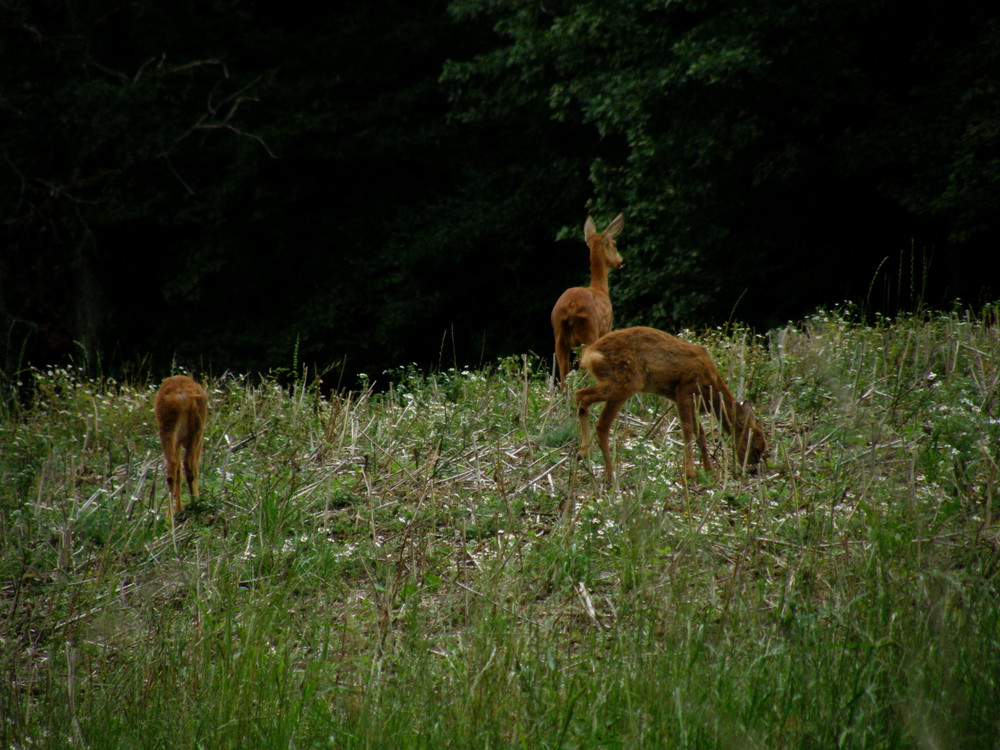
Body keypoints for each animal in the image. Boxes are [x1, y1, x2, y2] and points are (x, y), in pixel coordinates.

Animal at [151, 374, 206, 516]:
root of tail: (181, 395)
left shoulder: (178, 442)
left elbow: (178, 473)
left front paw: (178, 508)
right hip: (198, 429)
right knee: (189, 463)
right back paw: (195, 503)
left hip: (167, 428)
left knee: (172, 466)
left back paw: (169, 515)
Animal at [552, 213, 620, 384]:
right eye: (614, 244)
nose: (620, 261)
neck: (600, 288)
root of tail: (571, 305)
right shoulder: (607, 328)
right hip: (589, 330)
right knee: (583, 366)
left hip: (558, 334)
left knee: (563, 370)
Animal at [576, 326, 768, 484]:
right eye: (756, 448)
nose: (752, 471)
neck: (711, 390)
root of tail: (590, 354)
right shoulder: (684, 389)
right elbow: (687, 429)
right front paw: (690, 474)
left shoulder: (685, 400)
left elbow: (700, 432)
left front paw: (708, 469)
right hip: (627, 382)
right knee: (591, 410)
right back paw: (606, 472)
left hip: (618, 383)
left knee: (585, 402)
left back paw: (590, 458)